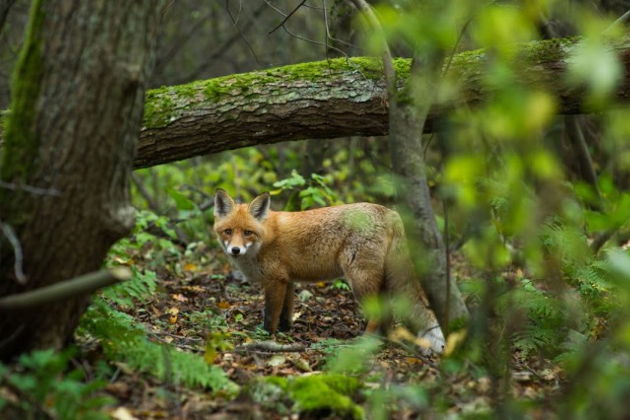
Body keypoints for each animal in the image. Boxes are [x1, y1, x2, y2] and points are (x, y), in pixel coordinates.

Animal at [215, 189, 446, 352]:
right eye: (228, 231)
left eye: (247, 232)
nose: (235, 250)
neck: (263, 240)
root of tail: (390, 212)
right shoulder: (287, 280)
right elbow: (286, 314)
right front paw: (285, 333)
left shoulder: (275, 281)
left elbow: (270, 315)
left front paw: (266, 338)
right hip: (381, 281)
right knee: (388, 314)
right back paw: (385, 340)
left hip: (359, 280)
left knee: (378, 313)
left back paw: (364, 343)